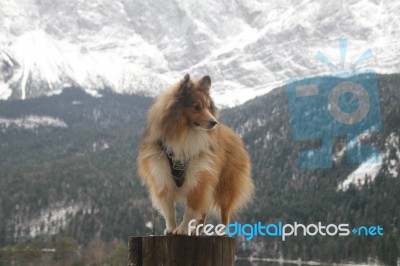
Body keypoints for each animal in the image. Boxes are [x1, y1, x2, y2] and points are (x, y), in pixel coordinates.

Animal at [138, 74, 255, 234]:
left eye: (208, 106)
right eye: (196, 107)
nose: (214, 122)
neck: (184, 134)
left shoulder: (199, 179)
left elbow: (191, 209)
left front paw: (181, 229)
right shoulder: (163, 178)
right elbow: (169, 210)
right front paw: (171, 228)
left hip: (226, 187)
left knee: (225, 214)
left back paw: (222, 232)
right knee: (203, 215)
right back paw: (196, 232)